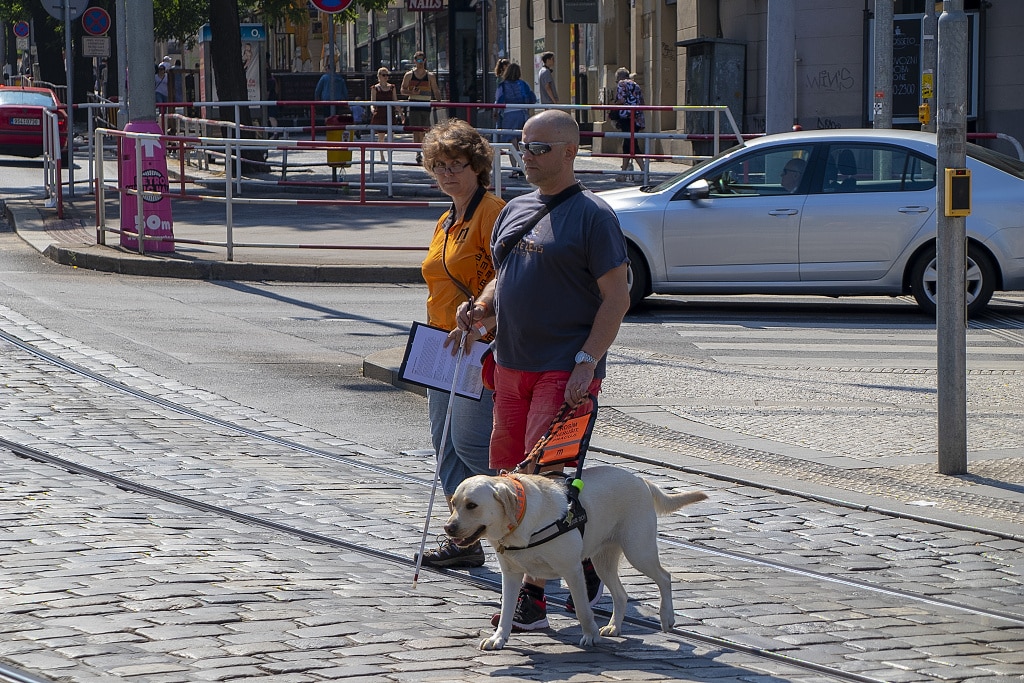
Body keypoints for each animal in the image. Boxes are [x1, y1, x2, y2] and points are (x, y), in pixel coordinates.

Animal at [444, 464, 708, 651]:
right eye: (454, 503)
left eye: (472, 505)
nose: (448, 528)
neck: (521, 519)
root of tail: (641, 481)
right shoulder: (510, 574)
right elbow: (506, 611)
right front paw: (498, 639)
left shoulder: (572, 570)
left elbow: (582, 608)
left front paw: (590, 635)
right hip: (604, 562)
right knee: (621, 594)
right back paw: (614, 626)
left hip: (638, 550)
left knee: (665, 577)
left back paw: (667, 617)